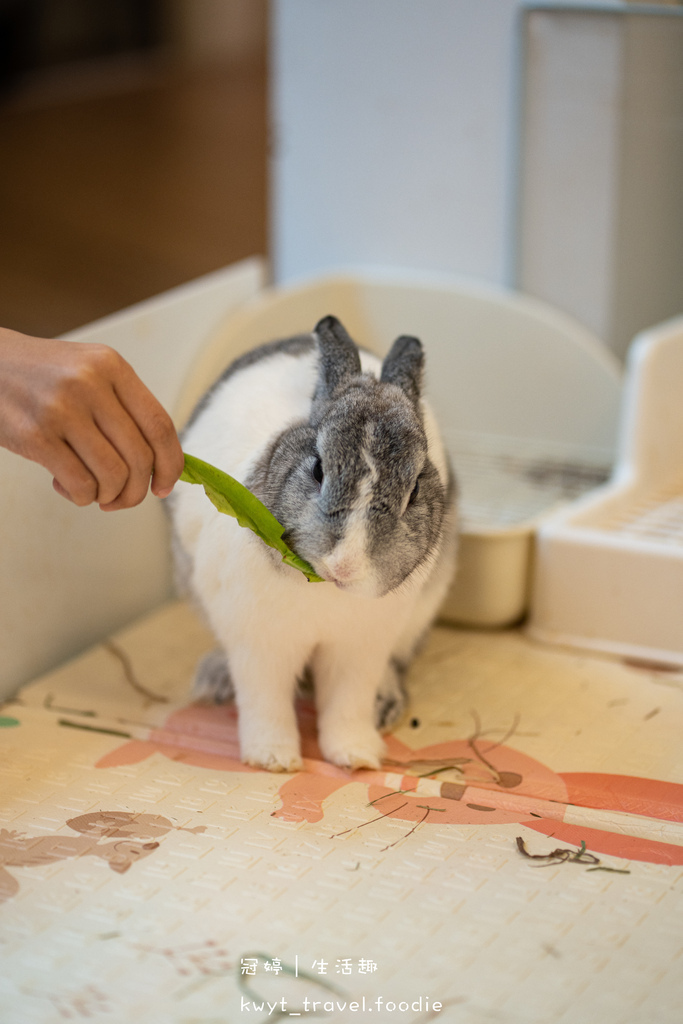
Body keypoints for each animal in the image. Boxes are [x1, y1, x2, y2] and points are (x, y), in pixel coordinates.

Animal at [169, 315, 458, 770]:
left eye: (413, 490)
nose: (345, 564)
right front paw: (273, 758)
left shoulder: (358, 651)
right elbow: (265, 700)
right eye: (319, 468)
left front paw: (356, 756)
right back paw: (215, 681)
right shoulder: (259, 643)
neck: (324, 588)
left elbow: (346, 704)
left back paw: (384, 704)